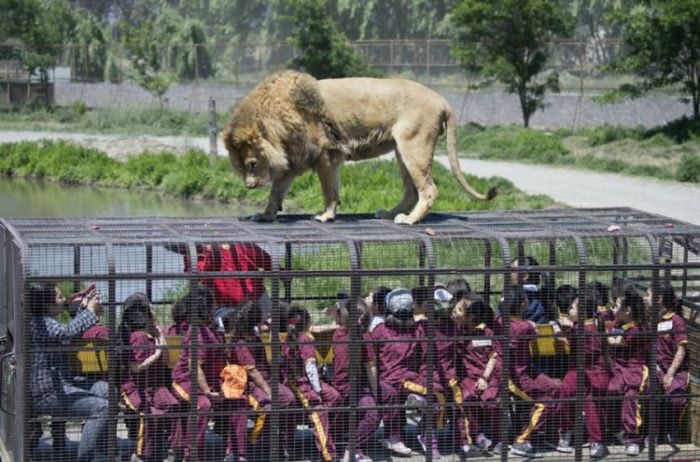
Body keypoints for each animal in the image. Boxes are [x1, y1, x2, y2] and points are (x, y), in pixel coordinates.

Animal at [221, 69, 494, 226]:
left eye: (252, 164)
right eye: (240, 168)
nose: (249, 186)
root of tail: (442, 100)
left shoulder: (325, 155)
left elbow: (329, 190)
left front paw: (325, 215)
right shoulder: (294, 162)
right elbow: (275, 193)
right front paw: (265, 216)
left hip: (414, 146)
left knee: (428, 190)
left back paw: (409, 220)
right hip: (401, 151)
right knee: (410, 192)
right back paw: (389, 214)